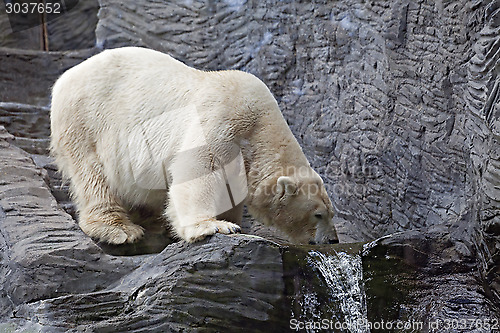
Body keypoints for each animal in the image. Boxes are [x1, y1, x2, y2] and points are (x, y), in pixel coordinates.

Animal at [49, 46, 340, 244]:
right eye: (318, 215)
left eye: (331, 212)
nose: (333, 240)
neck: (260, 126)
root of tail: (65, 78)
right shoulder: (222, 121)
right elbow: (199, 171)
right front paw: (214, 226)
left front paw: (231, 221)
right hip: (86, 122)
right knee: (93, 177)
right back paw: (119, 228)